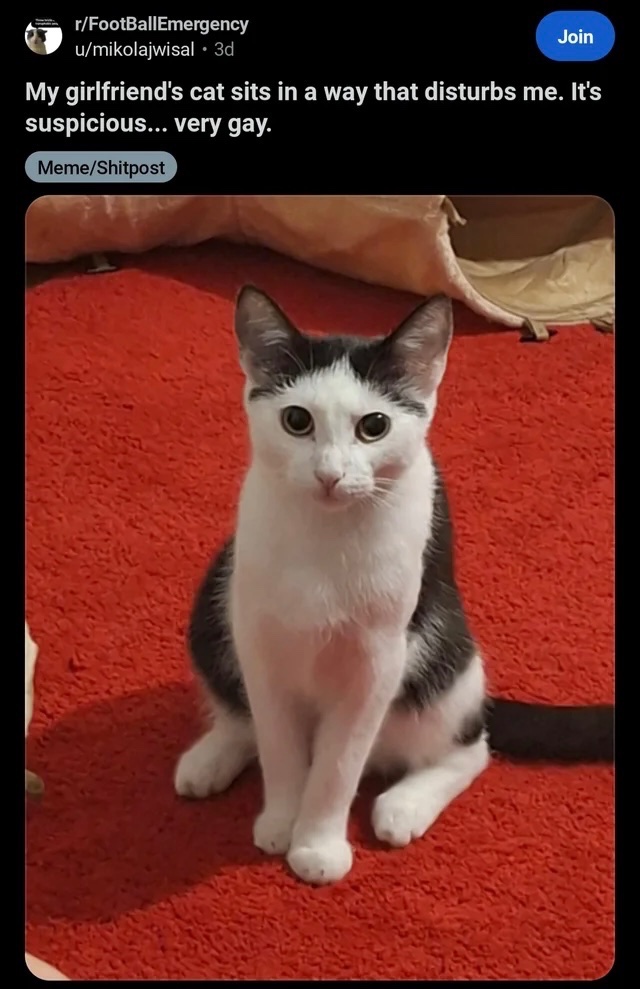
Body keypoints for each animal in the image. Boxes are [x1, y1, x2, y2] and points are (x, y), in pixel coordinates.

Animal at [175, 286, 613, 886]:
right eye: (296, 420)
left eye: (374, 426)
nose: (330, 474)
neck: (326, 538)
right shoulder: (260, 638)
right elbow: (279, 743)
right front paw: (281, 820)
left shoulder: (377, 659)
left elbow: (337, 764)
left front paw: (316, 844)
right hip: (215, 598)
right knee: (245, 714)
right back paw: (210, 758)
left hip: (445, 653)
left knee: (472, 746)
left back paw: (403, 805)